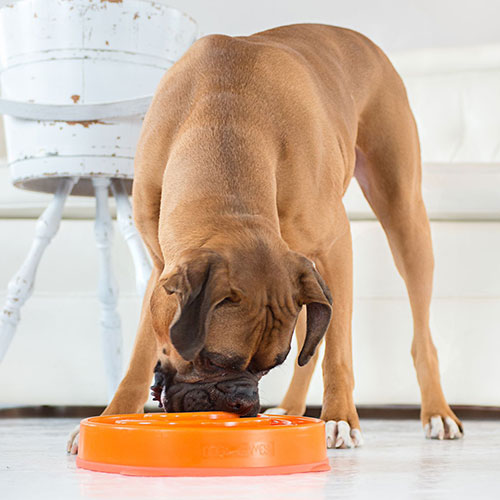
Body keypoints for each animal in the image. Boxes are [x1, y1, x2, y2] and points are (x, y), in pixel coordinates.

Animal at [67, 23, 464, 454]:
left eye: (268, 366)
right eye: (212, 361)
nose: (243, 402)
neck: (222, 125)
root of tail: (361, 39)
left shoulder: (336, 248)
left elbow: (339, 351)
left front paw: (340, 418)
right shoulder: (161, 268)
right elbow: (140, 354)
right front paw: (111, 415)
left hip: (404, 219)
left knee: (417, 337)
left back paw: (437, 413)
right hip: (310, 279)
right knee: (313, 338)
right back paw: (291, 408)